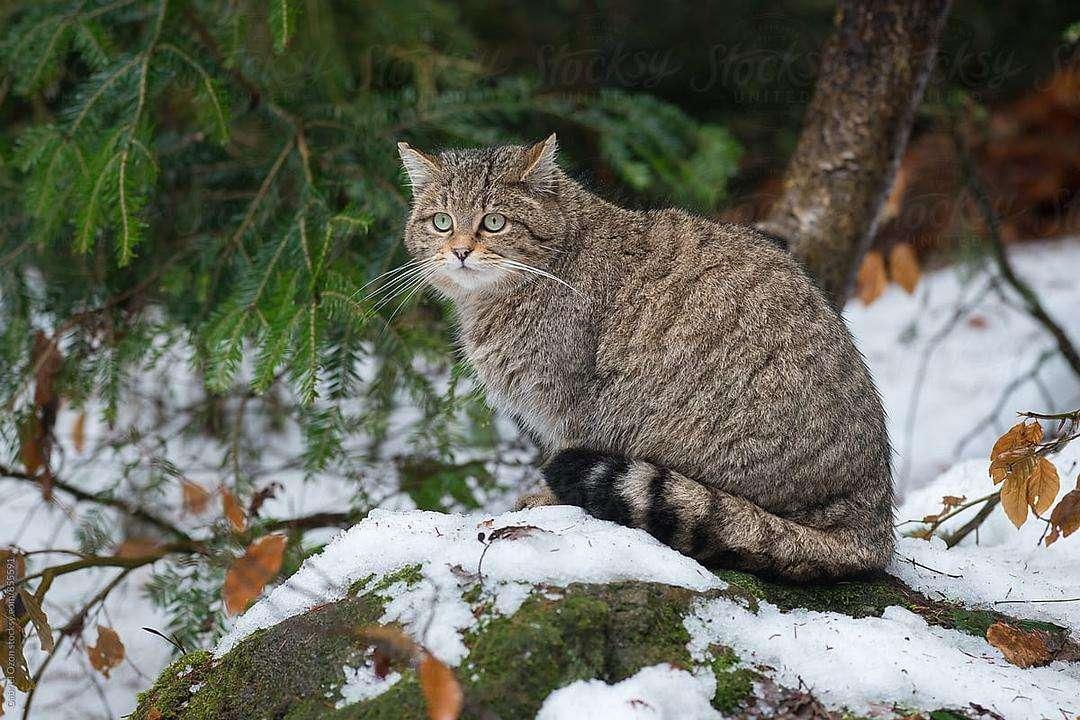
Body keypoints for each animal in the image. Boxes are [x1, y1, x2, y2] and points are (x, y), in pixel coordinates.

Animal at [397, 134, 894, 582]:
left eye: (495, 222)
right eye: (441, 222)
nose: (460, 251)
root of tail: (874, 525)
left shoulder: (572, 405)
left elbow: (562, 453)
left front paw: (544, 499)